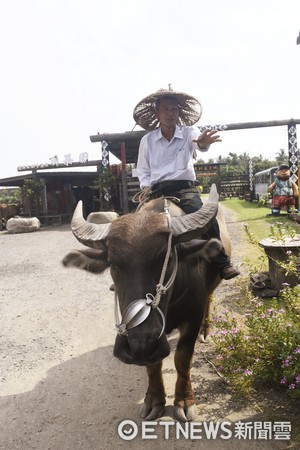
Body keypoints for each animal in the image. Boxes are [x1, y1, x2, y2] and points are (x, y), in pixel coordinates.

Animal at [62, 184, 230, 422]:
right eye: (113, 264)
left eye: (167, 260)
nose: (140, 345)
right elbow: (153, 365)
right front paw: (154, 400)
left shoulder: (192, 317)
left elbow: (182, 358)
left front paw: (184, 401)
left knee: (209, 299)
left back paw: (206, 331)